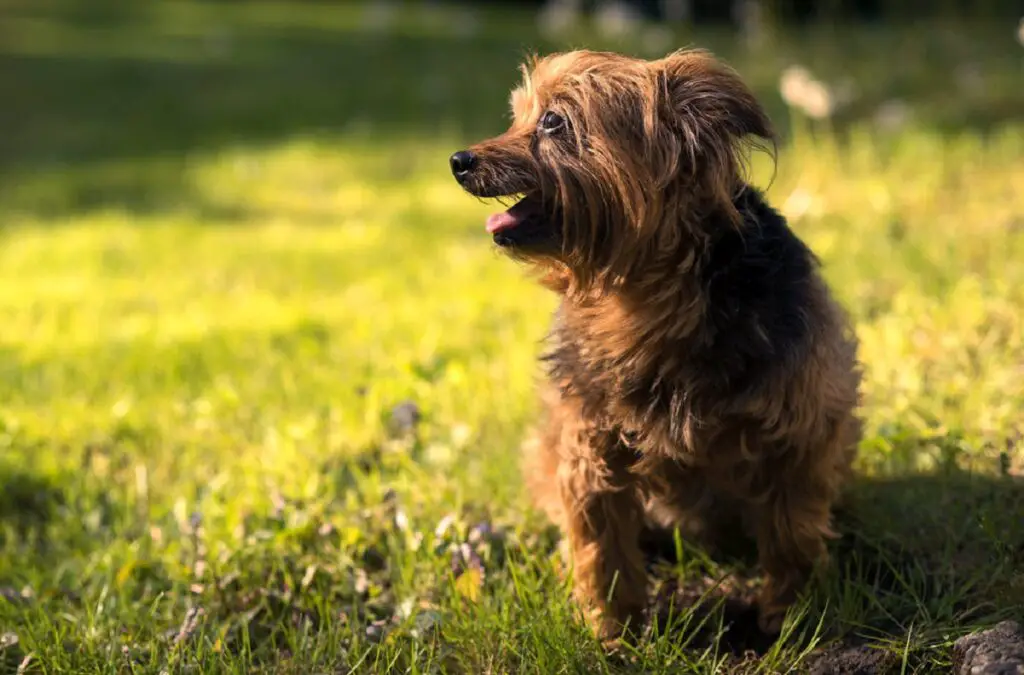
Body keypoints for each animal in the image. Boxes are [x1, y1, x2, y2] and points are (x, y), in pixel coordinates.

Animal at [452, 50, 860, 643]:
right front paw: (610, 633)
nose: (459, 160)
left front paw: (789, 619)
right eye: (517, 117)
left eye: (553, 121)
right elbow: (600, 546)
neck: (642, 302)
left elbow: (792, 533)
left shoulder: (799, 431)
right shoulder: (588, 445)